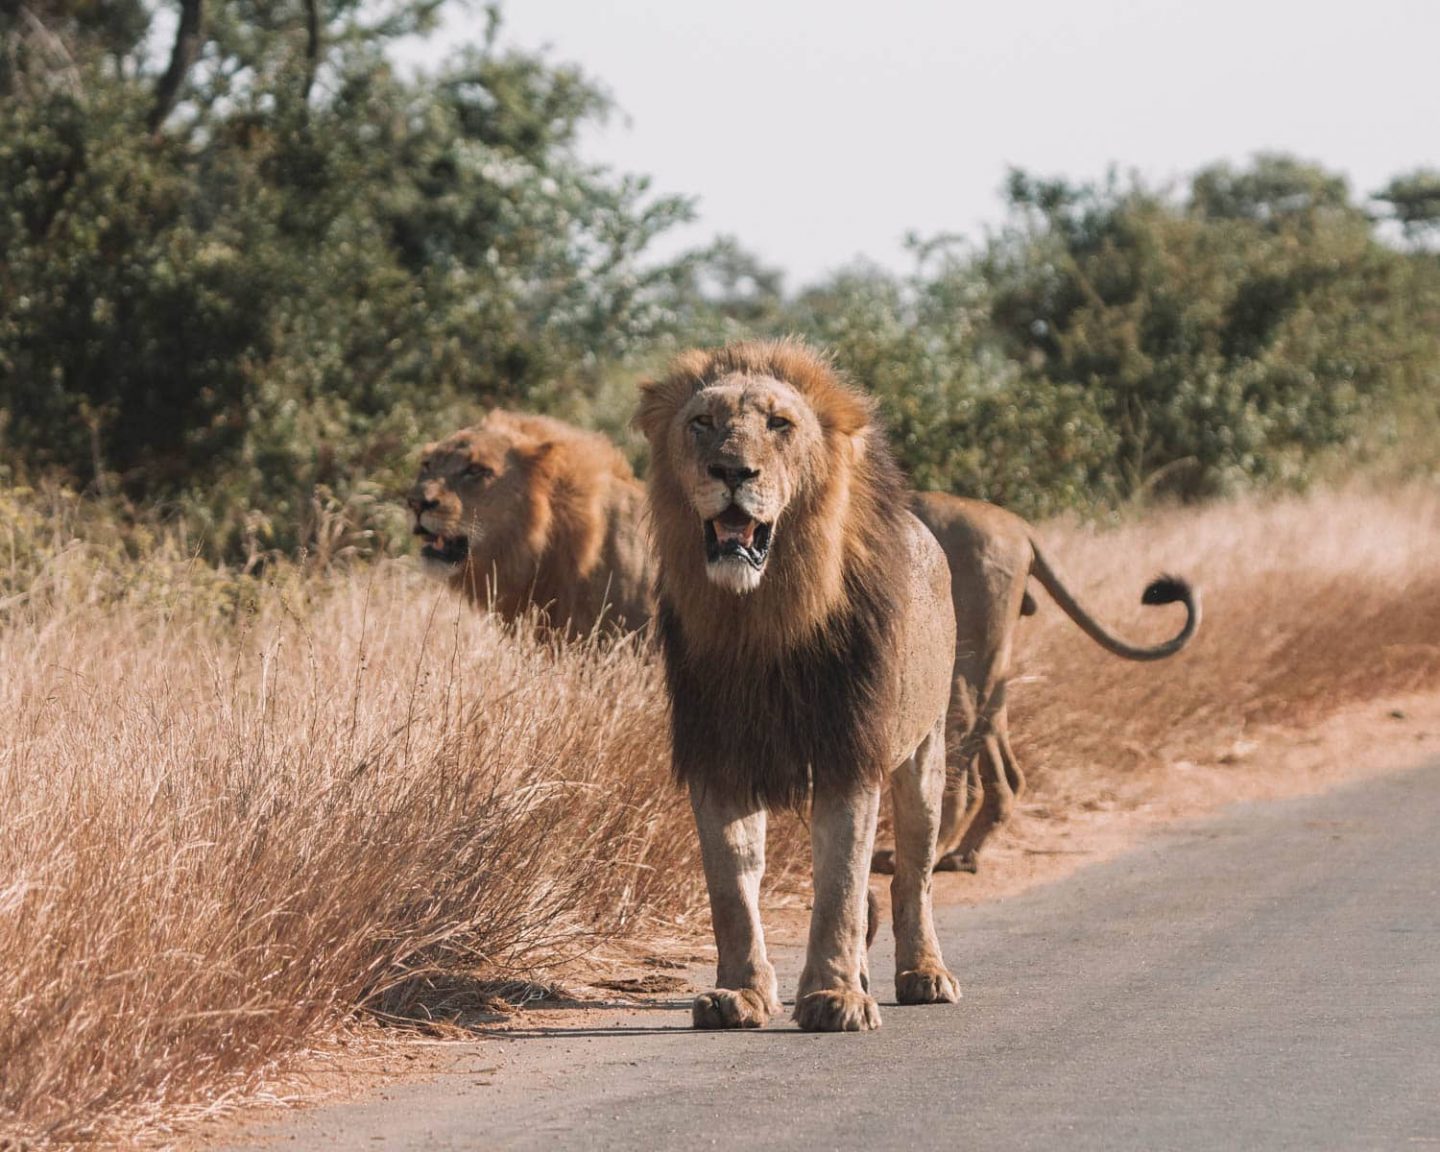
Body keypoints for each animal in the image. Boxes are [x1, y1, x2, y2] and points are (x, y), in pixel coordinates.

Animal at [639, 336, 956, 1031]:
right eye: (702, 422)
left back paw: (924, 974)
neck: (762, 620)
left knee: (912, 875)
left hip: (926, 750)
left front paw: (836, 999)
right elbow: (732, 885)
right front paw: (740, 994)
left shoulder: (848, 751)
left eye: (780, 424)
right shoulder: (718, 753)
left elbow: (839, 882)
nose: (732, 472)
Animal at [864, 489, 1203, 875]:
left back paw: (926, 854)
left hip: (960, 655)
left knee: (962, 770)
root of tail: (1017, 525)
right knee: (1005, 773)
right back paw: (963, 855)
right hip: (991, 668)